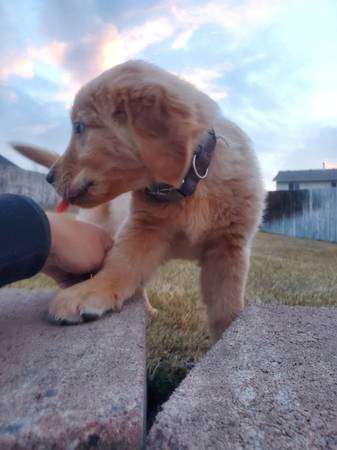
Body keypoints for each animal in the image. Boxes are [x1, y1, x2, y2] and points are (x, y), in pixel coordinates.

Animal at [21, 60, 266, 342]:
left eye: (80, 127)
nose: (49, 177)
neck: (187, 186)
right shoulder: (142, 229)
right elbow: (121, 266)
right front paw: (91, 291)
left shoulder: (229, 249)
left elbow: (227, 307)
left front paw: (230, 339)